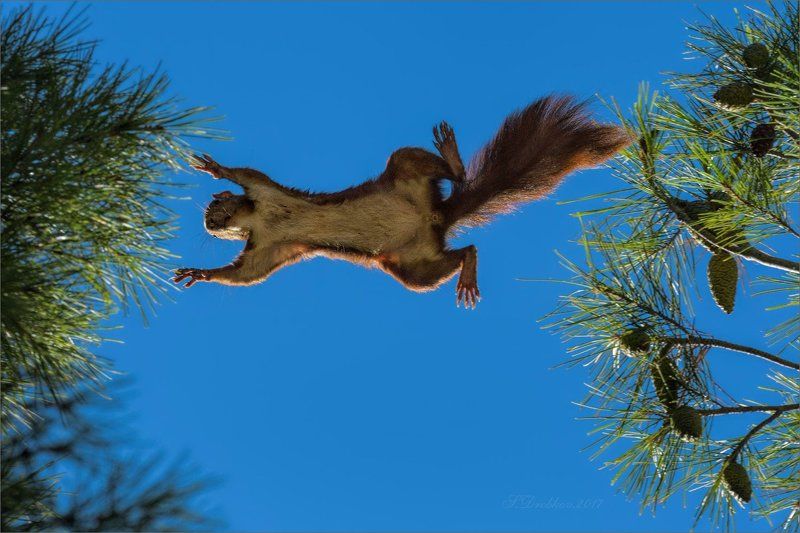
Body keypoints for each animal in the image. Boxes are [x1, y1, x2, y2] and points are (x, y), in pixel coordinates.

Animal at [174, 96, 629, 308]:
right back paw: (466, 268)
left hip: (405, 166)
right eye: (209, 219)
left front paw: (214, 167)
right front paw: (201, 273)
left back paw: (452, 157)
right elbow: (246, 274)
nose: (208, 224)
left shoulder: (264, 192)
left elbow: (245, 174)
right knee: (459, 252)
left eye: (215, 209)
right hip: (414, 268)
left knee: (451, 177)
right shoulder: (266, 248)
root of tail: (437, 217)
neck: (260, 218)